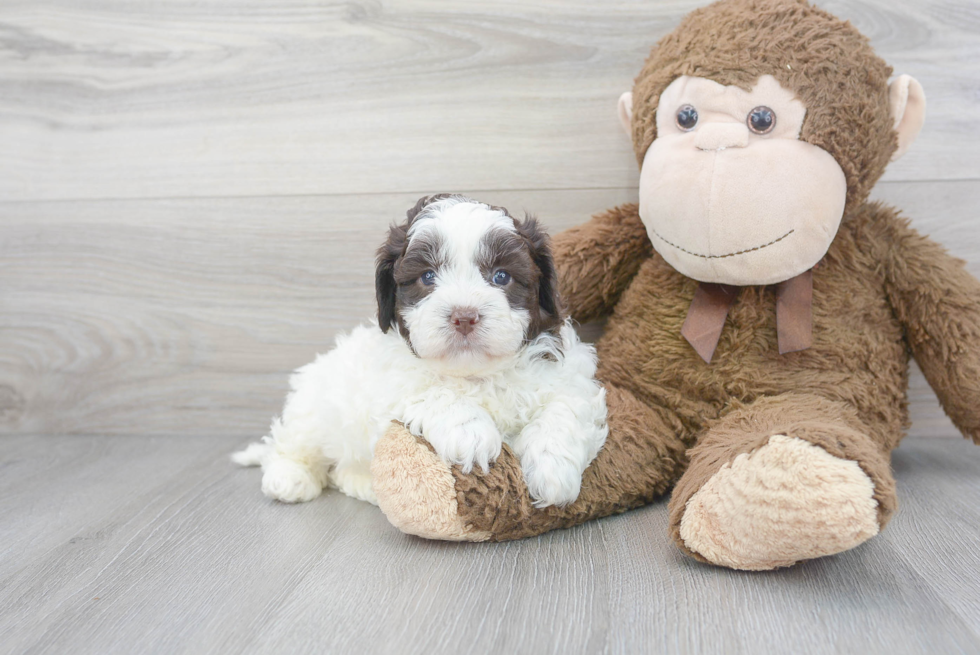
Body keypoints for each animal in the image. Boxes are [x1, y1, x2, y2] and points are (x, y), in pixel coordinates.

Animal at [234, 192, 608, 510]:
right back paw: (290, 477)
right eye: (427, 276)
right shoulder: (392, 384)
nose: (464, 316)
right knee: (292, 444)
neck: (477, 374)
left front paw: (553, 470)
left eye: (501, 276)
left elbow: (565, 408)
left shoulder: (568, 377)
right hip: (313, 407)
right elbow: (434, 391)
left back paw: (365, 486)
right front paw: (471, 433)